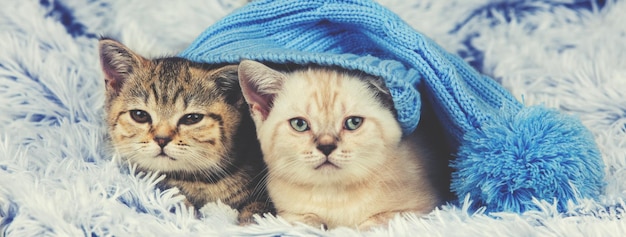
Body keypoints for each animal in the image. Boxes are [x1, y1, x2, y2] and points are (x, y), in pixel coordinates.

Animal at [98, 39, 270, 224]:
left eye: (192, 118)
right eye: (140, 115)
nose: (161, 139)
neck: (196, 180)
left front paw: (253, 221)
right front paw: (182, 207)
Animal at [236, 59, 442, 231]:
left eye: (353, 123)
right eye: (299, 124)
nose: (326, 147)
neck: (333, 195)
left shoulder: (422, 209)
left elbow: (377, 221)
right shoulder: (287, 211)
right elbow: (303, 219)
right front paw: (315, 224)